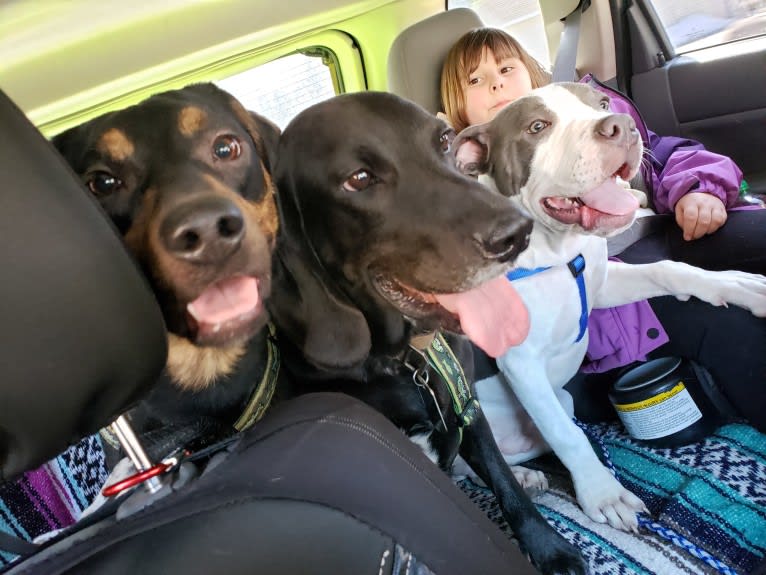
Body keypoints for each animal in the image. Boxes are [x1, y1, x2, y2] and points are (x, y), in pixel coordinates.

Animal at [268, 92, 588, 575]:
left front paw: (549, 546)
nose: (517, 233)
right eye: (359, 179)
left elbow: (503, 482)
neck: (407, 362)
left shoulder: (468, 408)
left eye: (444, 140)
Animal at [452, 81, 766, 532]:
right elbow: (568, 436)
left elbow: (670, 269)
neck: (558, 254)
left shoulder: (602, 286)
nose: (620, 125)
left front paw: (737, 285)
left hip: (558, 404)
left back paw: (523, 475)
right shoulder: (520, 363)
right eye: (537, 127)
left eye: (601, 103)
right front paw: (604, 494)